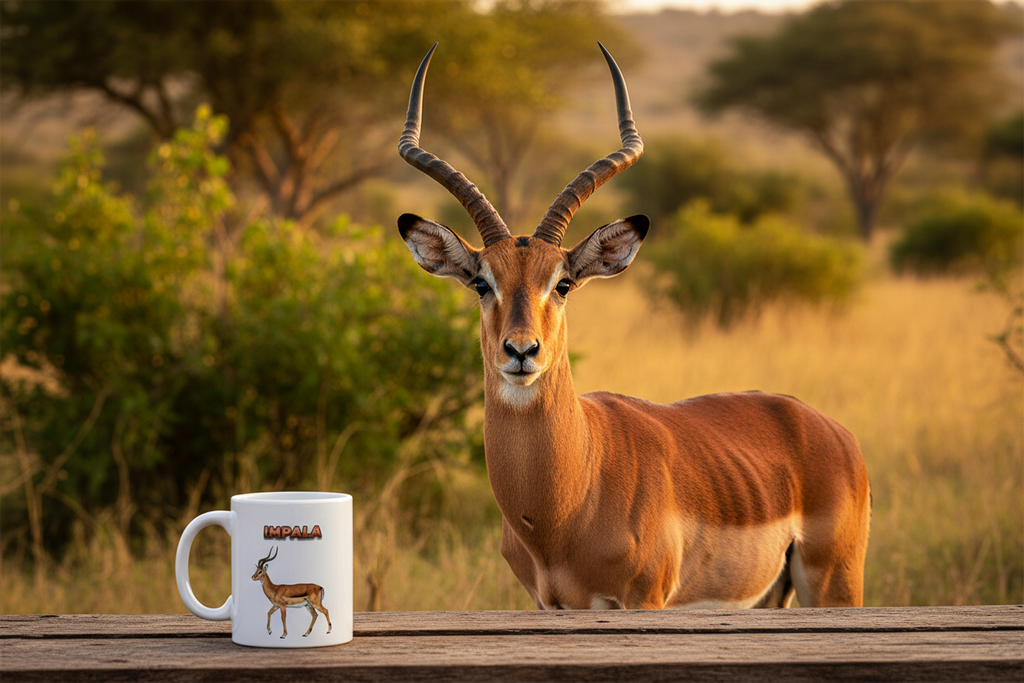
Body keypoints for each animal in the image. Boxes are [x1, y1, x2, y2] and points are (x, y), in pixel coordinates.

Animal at [397, 43, 871, 610]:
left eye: (563, 283)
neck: (568, 501)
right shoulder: (547, 604)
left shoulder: (643, 599)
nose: (522, 351)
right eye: (480, 283)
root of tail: (831, 430)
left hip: (834, 580)